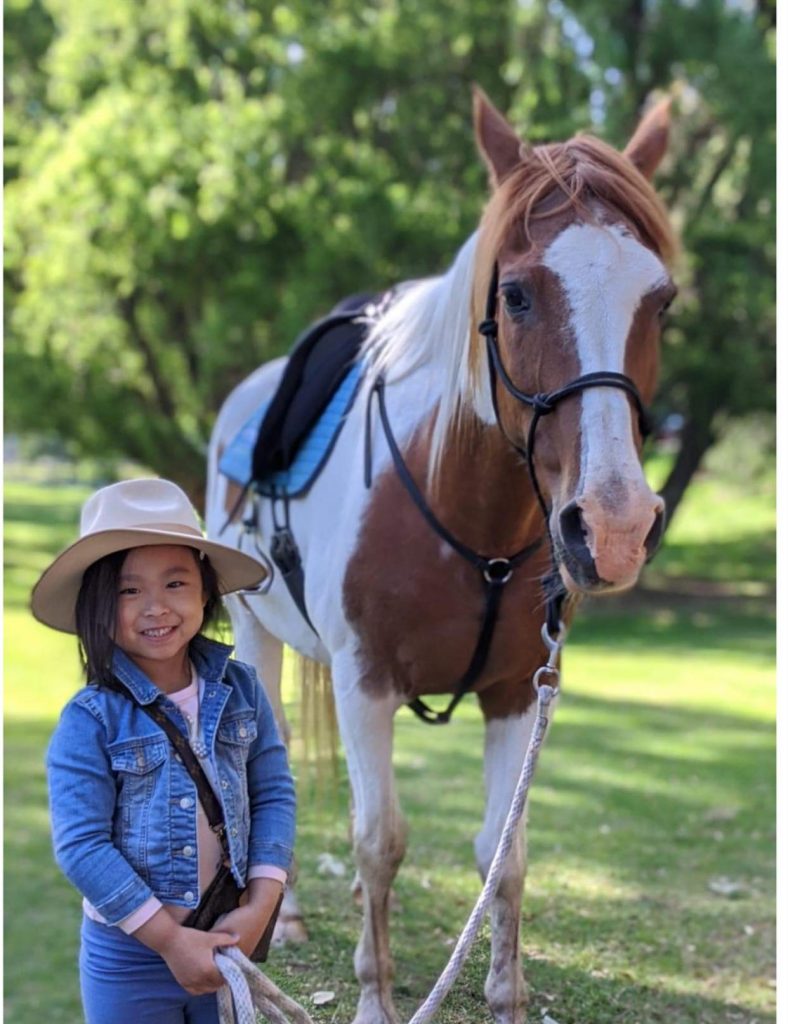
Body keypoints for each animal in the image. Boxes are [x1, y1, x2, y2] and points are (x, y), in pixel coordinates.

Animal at [206, 87, 679, 1024]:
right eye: (519, 294)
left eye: (662, 301)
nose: (612, 528)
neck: (464, 509)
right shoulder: (365, 685)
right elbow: (380, 839)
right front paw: (374, 996)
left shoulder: (521, 691)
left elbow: (504, 852)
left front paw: (504, 995)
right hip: (256, 630)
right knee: (275, 755)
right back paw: (296, 917)